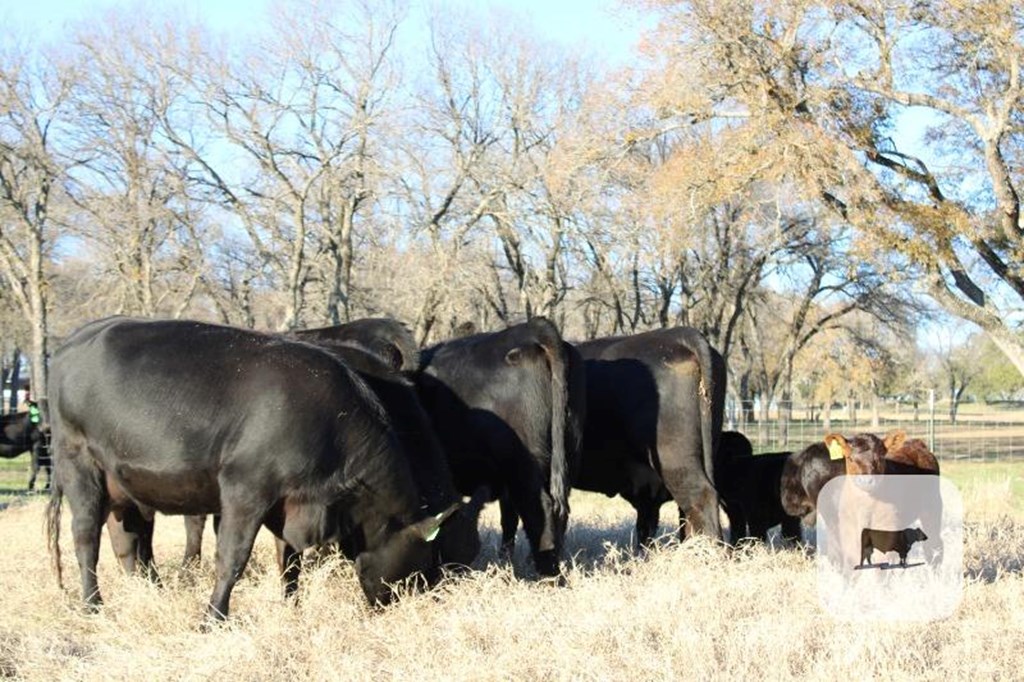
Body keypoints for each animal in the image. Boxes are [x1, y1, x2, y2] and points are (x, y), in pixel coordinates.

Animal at [44, 315, 468, 618]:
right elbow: (232, 557)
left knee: (127, 543)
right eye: (427, 555)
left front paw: (291, 607)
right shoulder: (245, 489)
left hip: (122, 487)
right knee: (86, 538)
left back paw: (151, 594)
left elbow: (290, 560)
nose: (419, 598)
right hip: (78, 464)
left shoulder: (290, 504)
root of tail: (73, 340)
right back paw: (93, 605)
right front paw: (213, 618)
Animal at [409, 317, 585, 573]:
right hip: (562, 456)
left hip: (522, 462)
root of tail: (530, 328)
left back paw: (545, 573)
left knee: (539, 509)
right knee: (554, 514)